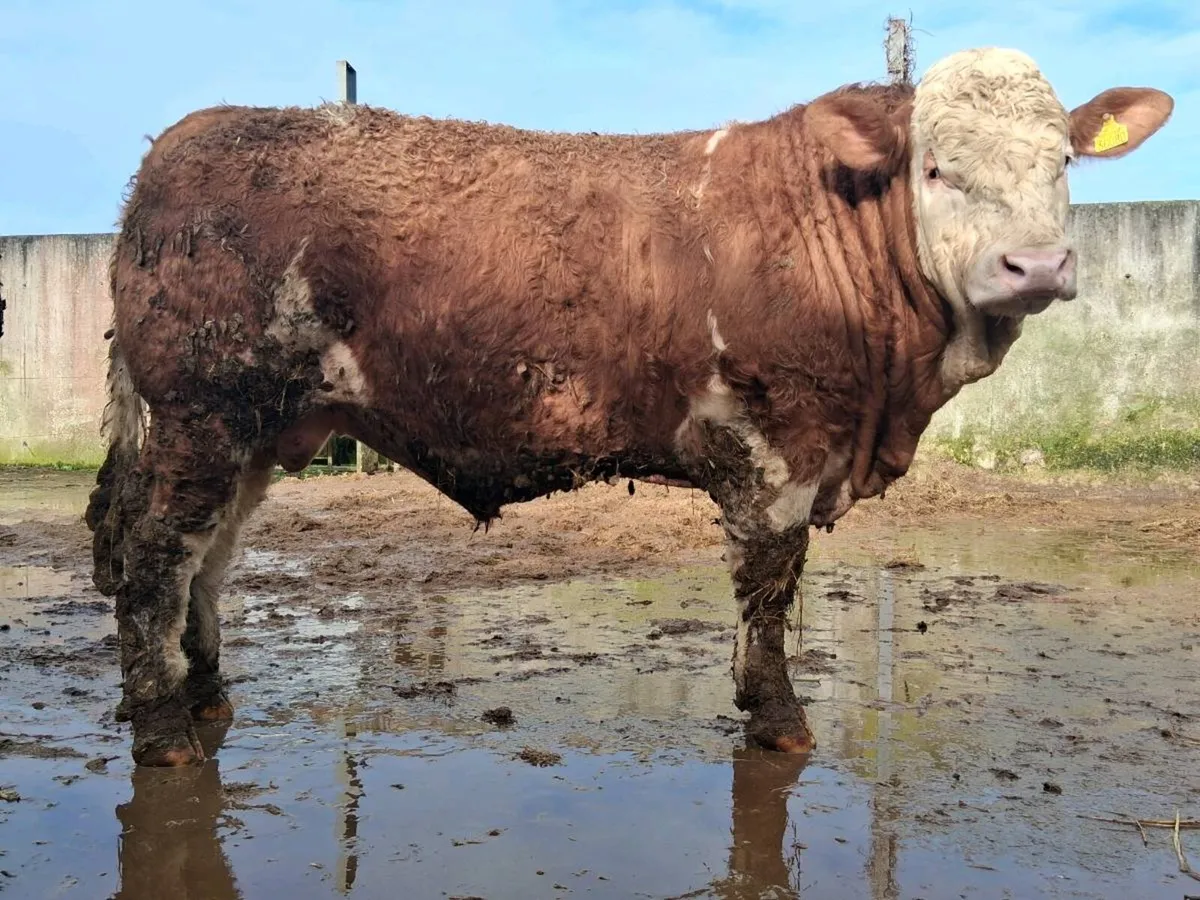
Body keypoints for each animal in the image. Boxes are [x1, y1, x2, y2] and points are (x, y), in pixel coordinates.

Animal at [85, 47, 1173, 766]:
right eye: (937, 167)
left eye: (1063, 163)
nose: (1036, 265)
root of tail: (177, 145)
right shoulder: (774, 443)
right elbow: (769, 589)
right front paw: (776, 717)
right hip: (203, 413)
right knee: (156, 556)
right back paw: (165, 729)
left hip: (254, 430)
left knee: (210, 557)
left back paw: (207, 694)